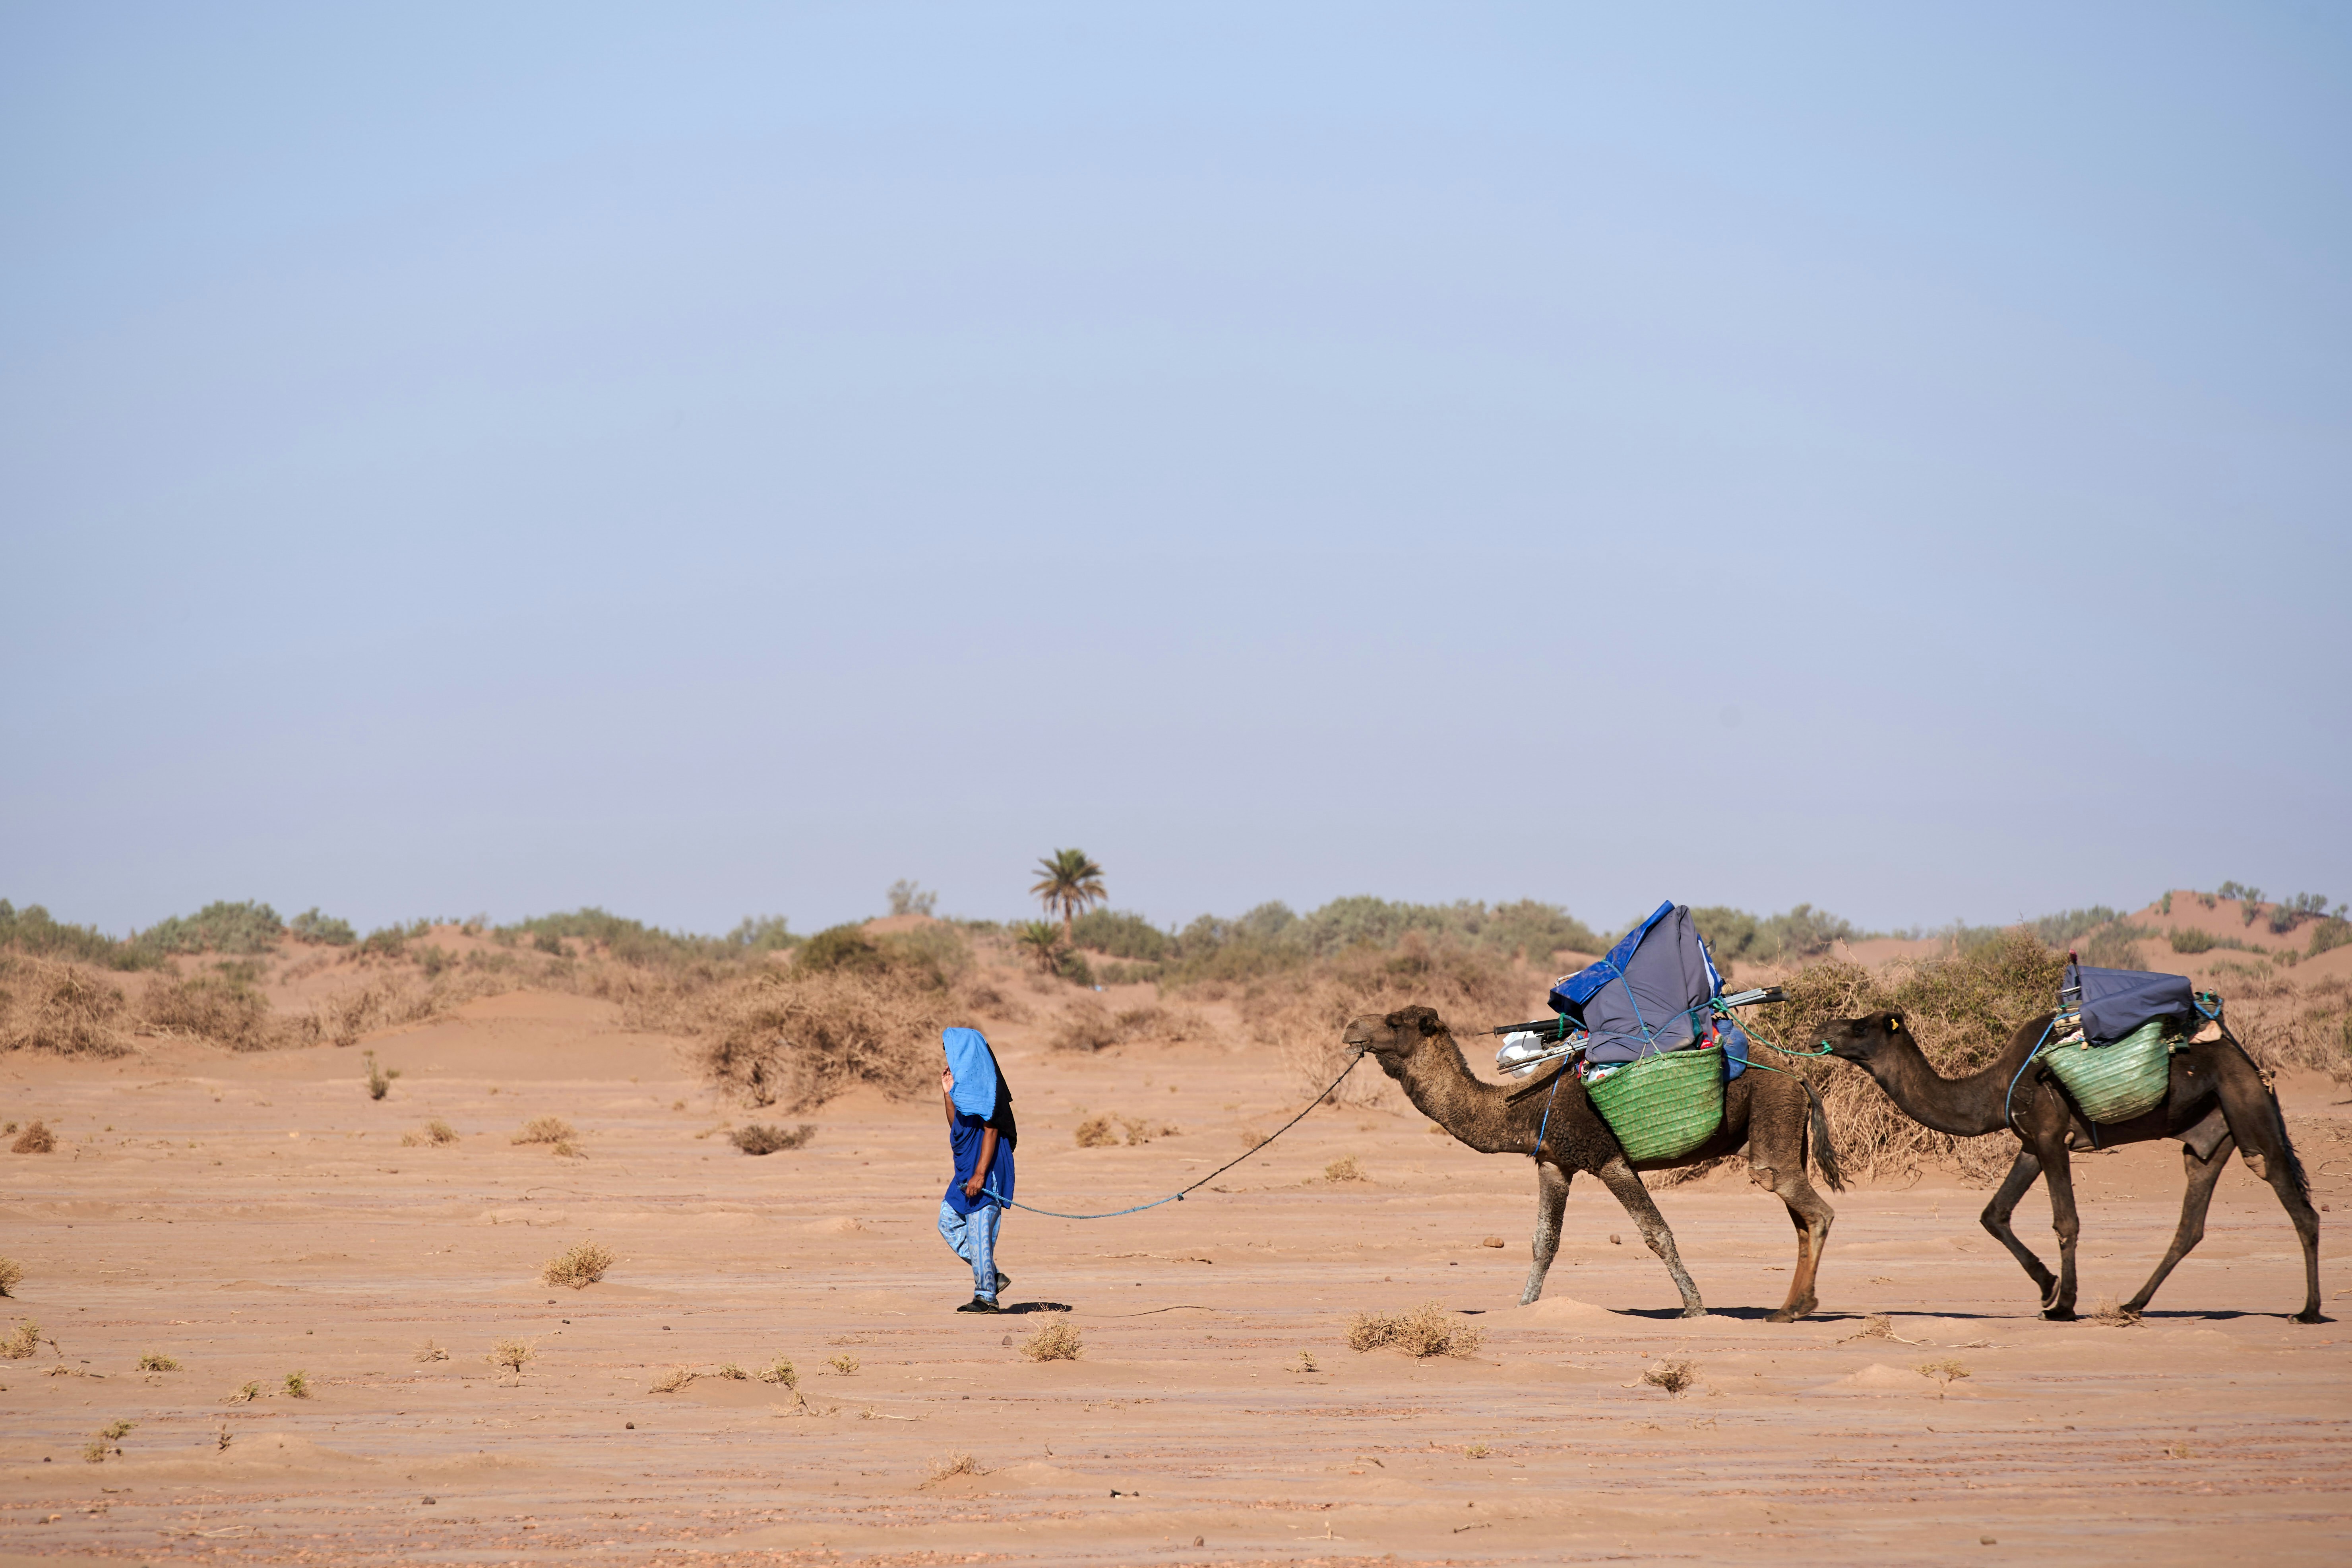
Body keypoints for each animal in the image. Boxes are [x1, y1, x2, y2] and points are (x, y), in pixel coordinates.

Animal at [1341, 1005, 1843, 1320]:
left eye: (1394, 1021)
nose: (1349, 1028)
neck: (1523, 1105)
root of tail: (1798, 1076)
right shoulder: (1553, 1163)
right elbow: (1543, 1242)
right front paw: (1523, 1308)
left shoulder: (1609, 1161)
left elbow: (1657, 1234)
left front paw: (1697, 1309)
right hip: (1780, 1134)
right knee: (1800, 1216)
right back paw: (1787, 1307)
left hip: (1773, 1113)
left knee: (1812, 1208)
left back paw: (1798, 1308)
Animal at [1819, 1009, 2321, 1322]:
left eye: (1860, 1027)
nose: (1817, 1030)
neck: (1993, 1089)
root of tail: (2255, 1067)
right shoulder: (2029, 1143)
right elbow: (1993, 1215)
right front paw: (2047, 1287)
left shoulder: (2049, 1135)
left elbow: (2066, 1221)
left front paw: (2063, 1305)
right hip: (2208, 1138)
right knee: (2189, 1225)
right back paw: (2132, 1305)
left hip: (2247, 1113)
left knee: (2298, 1206)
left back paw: (2308, 1311)